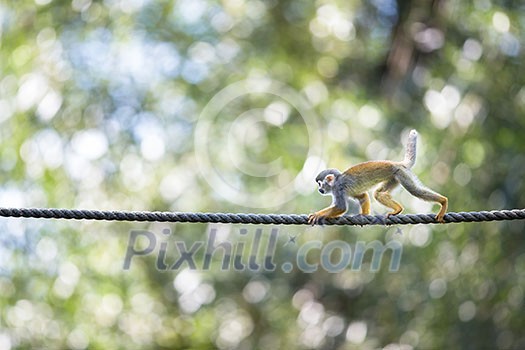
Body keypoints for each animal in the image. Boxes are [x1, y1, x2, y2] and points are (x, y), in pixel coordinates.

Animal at [310, 131, 448, 224]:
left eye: (320, 184)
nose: (319, 190)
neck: (336, 181)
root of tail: (398, 163)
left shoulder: (338, 188)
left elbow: (341, 207)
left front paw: (318, 215)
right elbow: (363, 196)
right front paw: (364, 215)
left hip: (401, 174)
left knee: (415, 191)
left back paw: (443, 201)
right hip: (394, 177)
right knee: (378, 194)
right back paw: (397, 208)